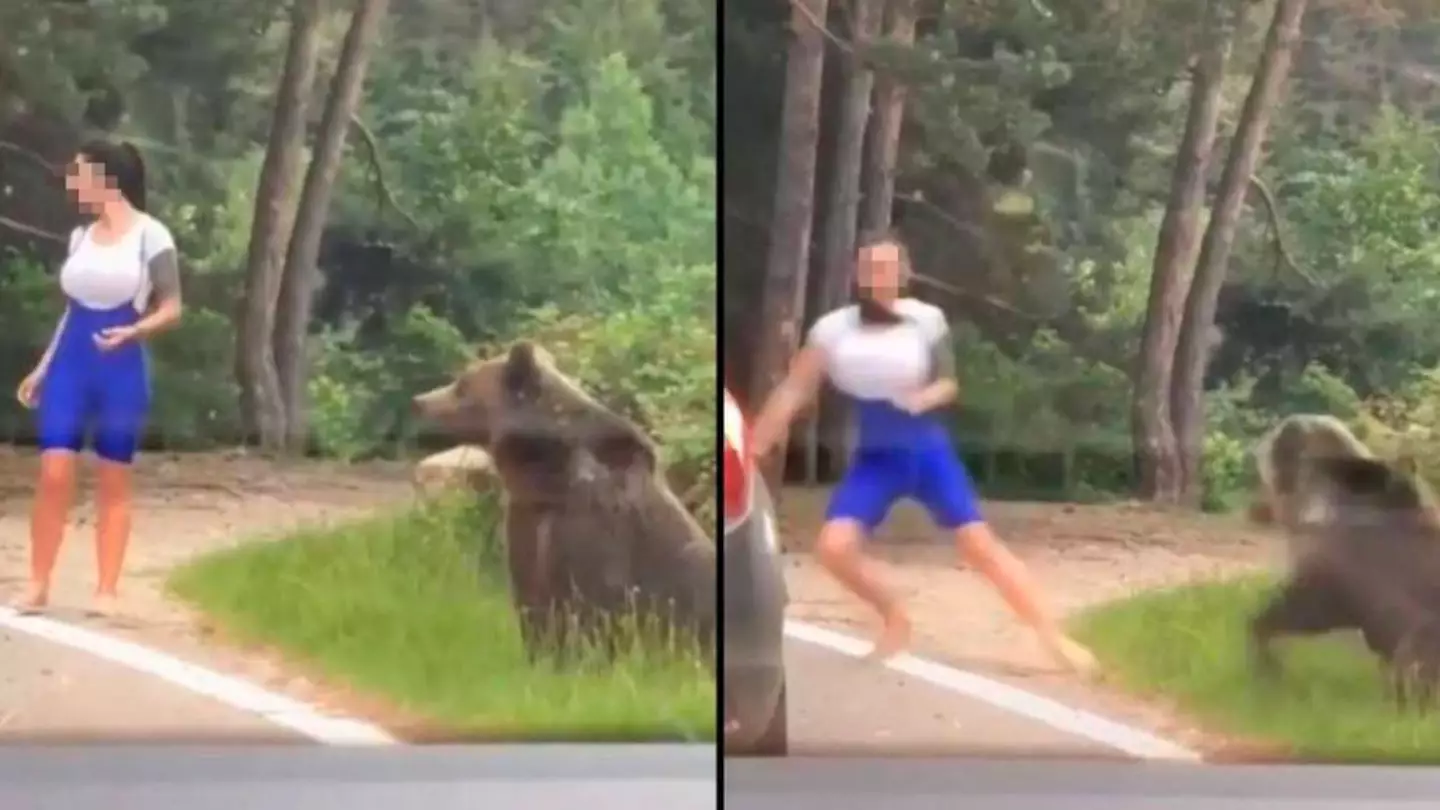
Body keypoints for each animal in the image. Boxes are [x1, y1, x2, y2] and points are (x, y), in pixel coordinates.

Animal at [411, 338, 714, 662]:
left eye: (462, 384)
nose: (419, 402)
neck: (545, 476)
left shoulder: (591, 525)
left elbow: (588, 606)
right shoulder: (528, 519)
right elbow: (533, 603)